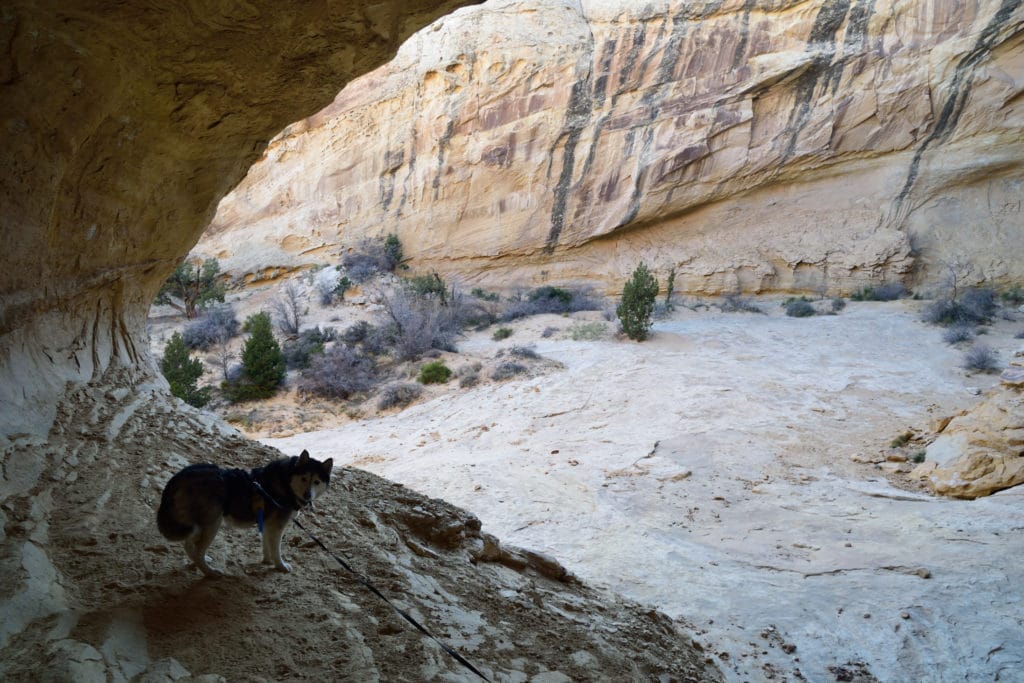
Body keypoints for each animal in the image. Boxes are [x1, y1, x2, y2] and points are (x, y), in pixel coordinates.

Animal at [155, 454, 333, 577]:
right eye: (304, 478)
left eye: (317, 481)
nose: (307, 495)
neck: (286, 481)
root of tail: (179, 476)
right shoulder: (277, 527)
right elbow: (276, 549)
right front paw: (280, 566)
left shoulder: (268, 524)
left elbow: (267, 546)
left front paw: (267, 561)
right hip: (212, 524)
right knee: (198, 551)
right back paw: (210, 572)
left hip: (200, 525)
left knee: (189, 545)